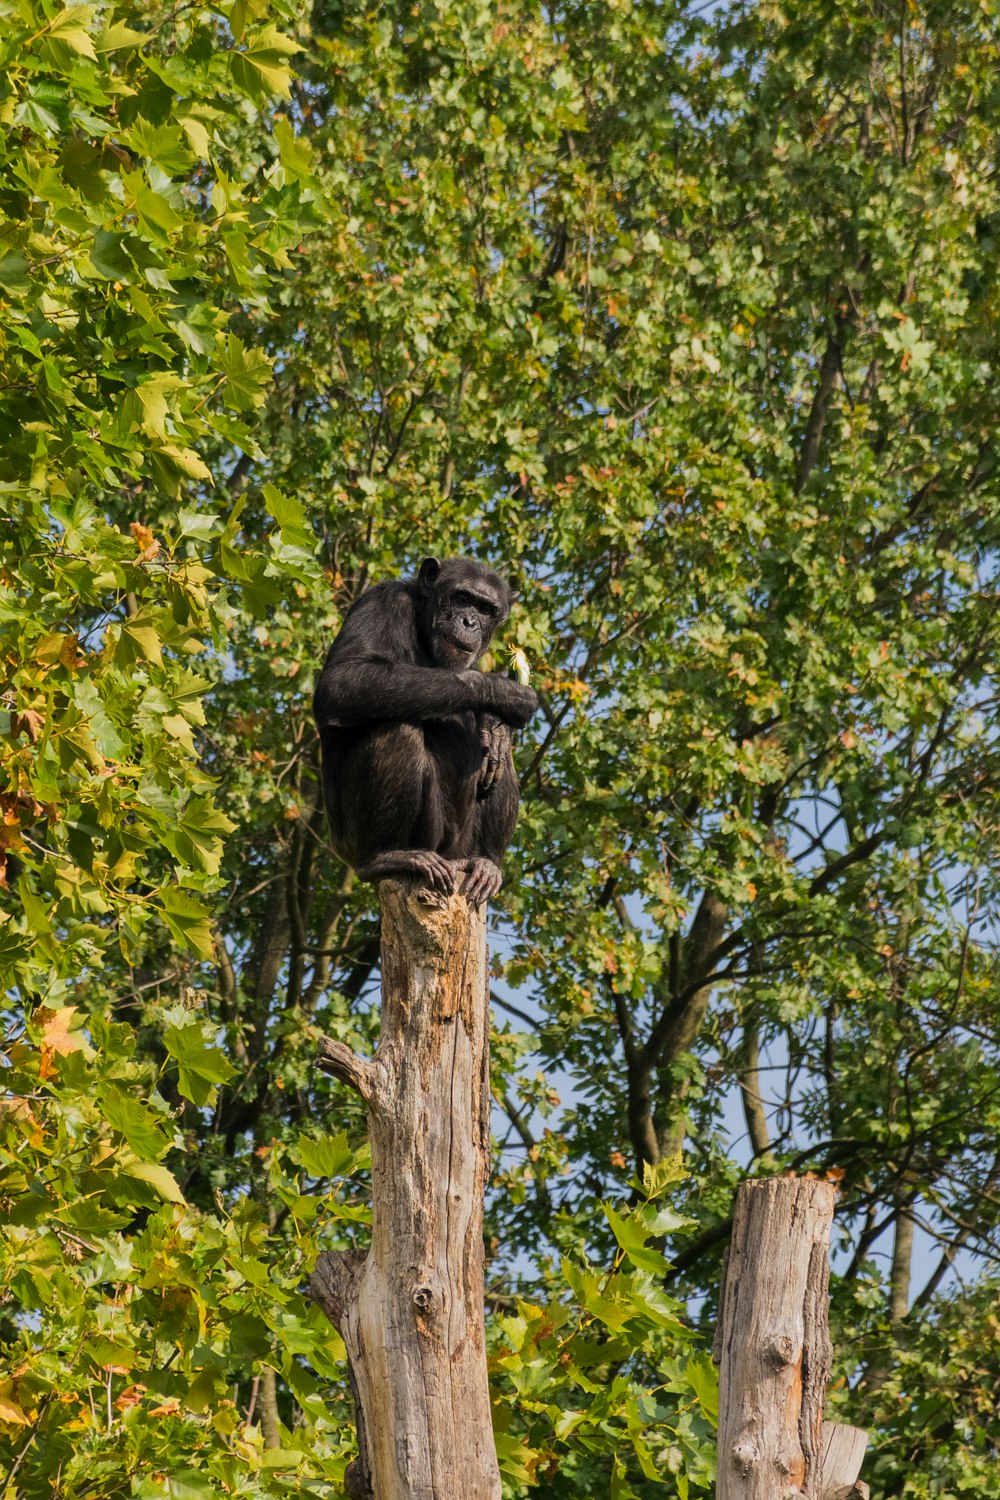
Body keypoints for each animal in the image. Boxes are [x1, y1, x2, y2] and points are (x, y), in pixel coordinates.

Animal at [314, 555, 539, 894]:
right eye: (462, 598)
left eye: (486, 609)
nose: (469, 622)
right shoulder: (380, 602)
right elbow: (342, 680)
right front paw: (501, 692)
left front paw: (496, 726)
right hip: (371, 842)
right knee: (397, 727)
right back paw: (386, 856)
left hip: (459, 850)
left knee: (499, 763)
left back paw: (487, 862)